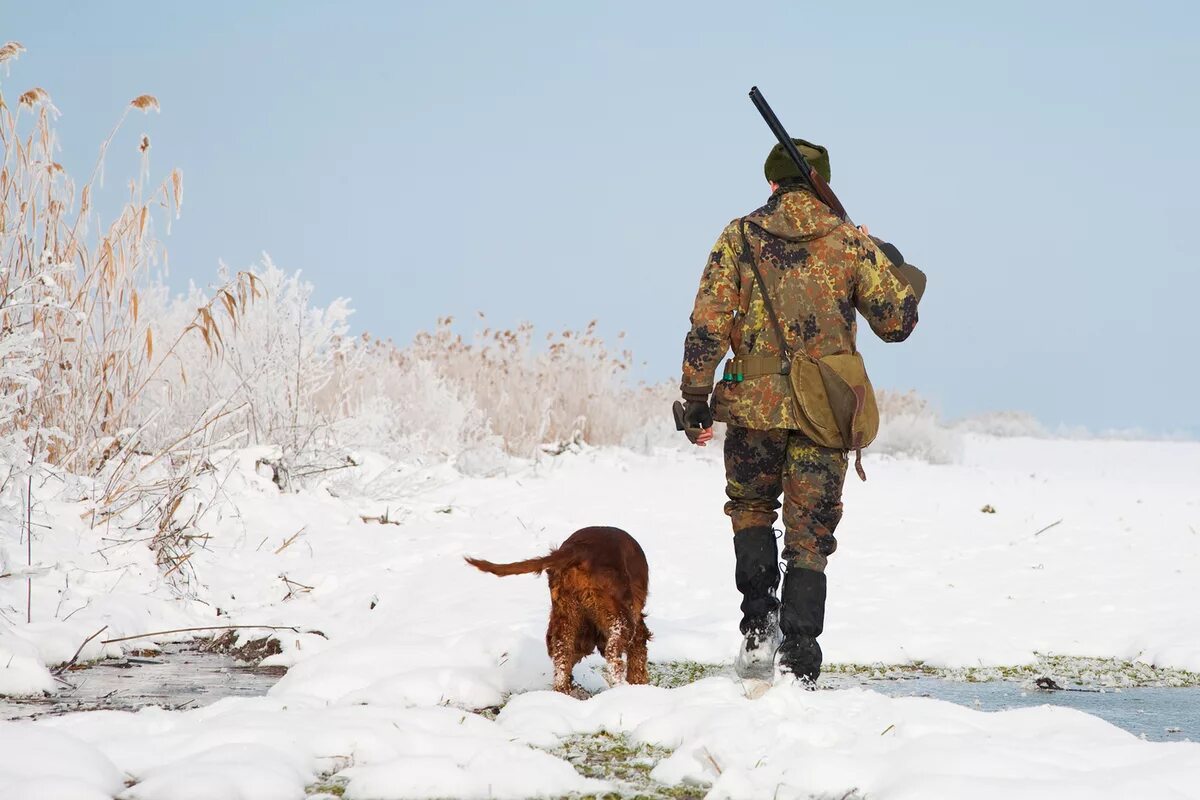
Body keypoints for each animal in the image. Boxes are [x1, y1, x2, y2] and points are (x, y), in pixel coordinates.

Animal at [460, 525, 648, 695]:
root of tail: (580, 549)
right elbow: (638, 656)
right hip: (620, 617)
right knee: (613, 652)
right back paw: (621, 689)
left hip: (565, 614)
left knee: (562, 653)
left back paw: (563, 691)